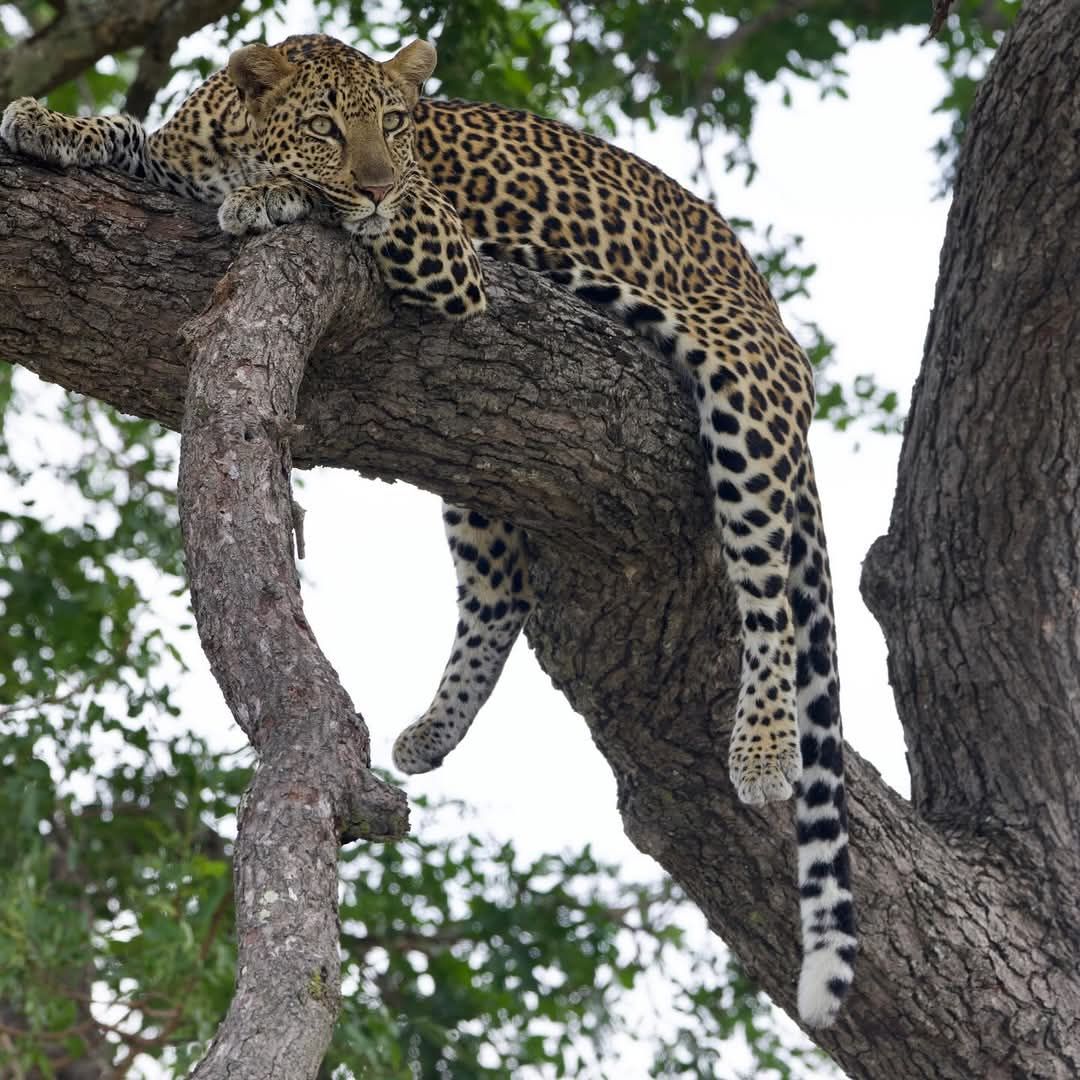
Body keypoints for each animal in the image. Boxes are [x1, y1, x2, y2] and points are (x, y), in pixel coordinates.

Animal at [1, 33, 855, 1027]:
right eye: (328, 126)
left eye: (398, 126)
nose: (376, 181)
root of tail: (770, 305)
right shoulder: (179, 160)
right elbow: (131, 136)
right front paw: (52, 123)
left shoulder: (442, 243)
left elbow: (347, 211)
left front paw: (275, 197)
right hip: (490, 464)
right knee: (502, 588)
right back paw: (431, 734)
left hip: (744, 398)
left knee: (767, 592)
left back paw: (762, 746)